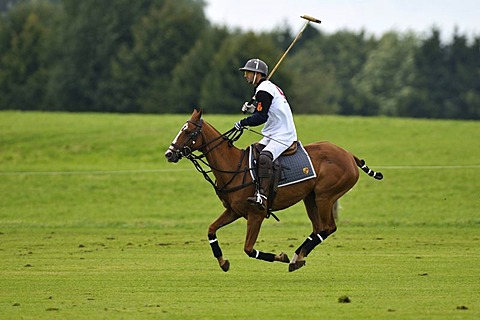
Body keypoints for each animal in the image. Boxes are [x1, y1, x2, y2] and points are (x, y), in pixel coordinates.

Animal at [165, 109, 382, 272]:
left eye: (188, 131)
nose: (169, 153)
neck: (234, 166)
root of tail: (349, 155)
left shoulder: (256, 214)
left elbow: (249, 249)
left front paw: (280, 256)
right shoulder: (234, 211)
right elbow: (211, 230)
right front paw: (223, 262)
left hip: (325, 196)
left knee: (328, 228)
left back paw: (295, 257)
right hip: (310, 197)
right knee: (319, 228)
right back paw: (298, 257)